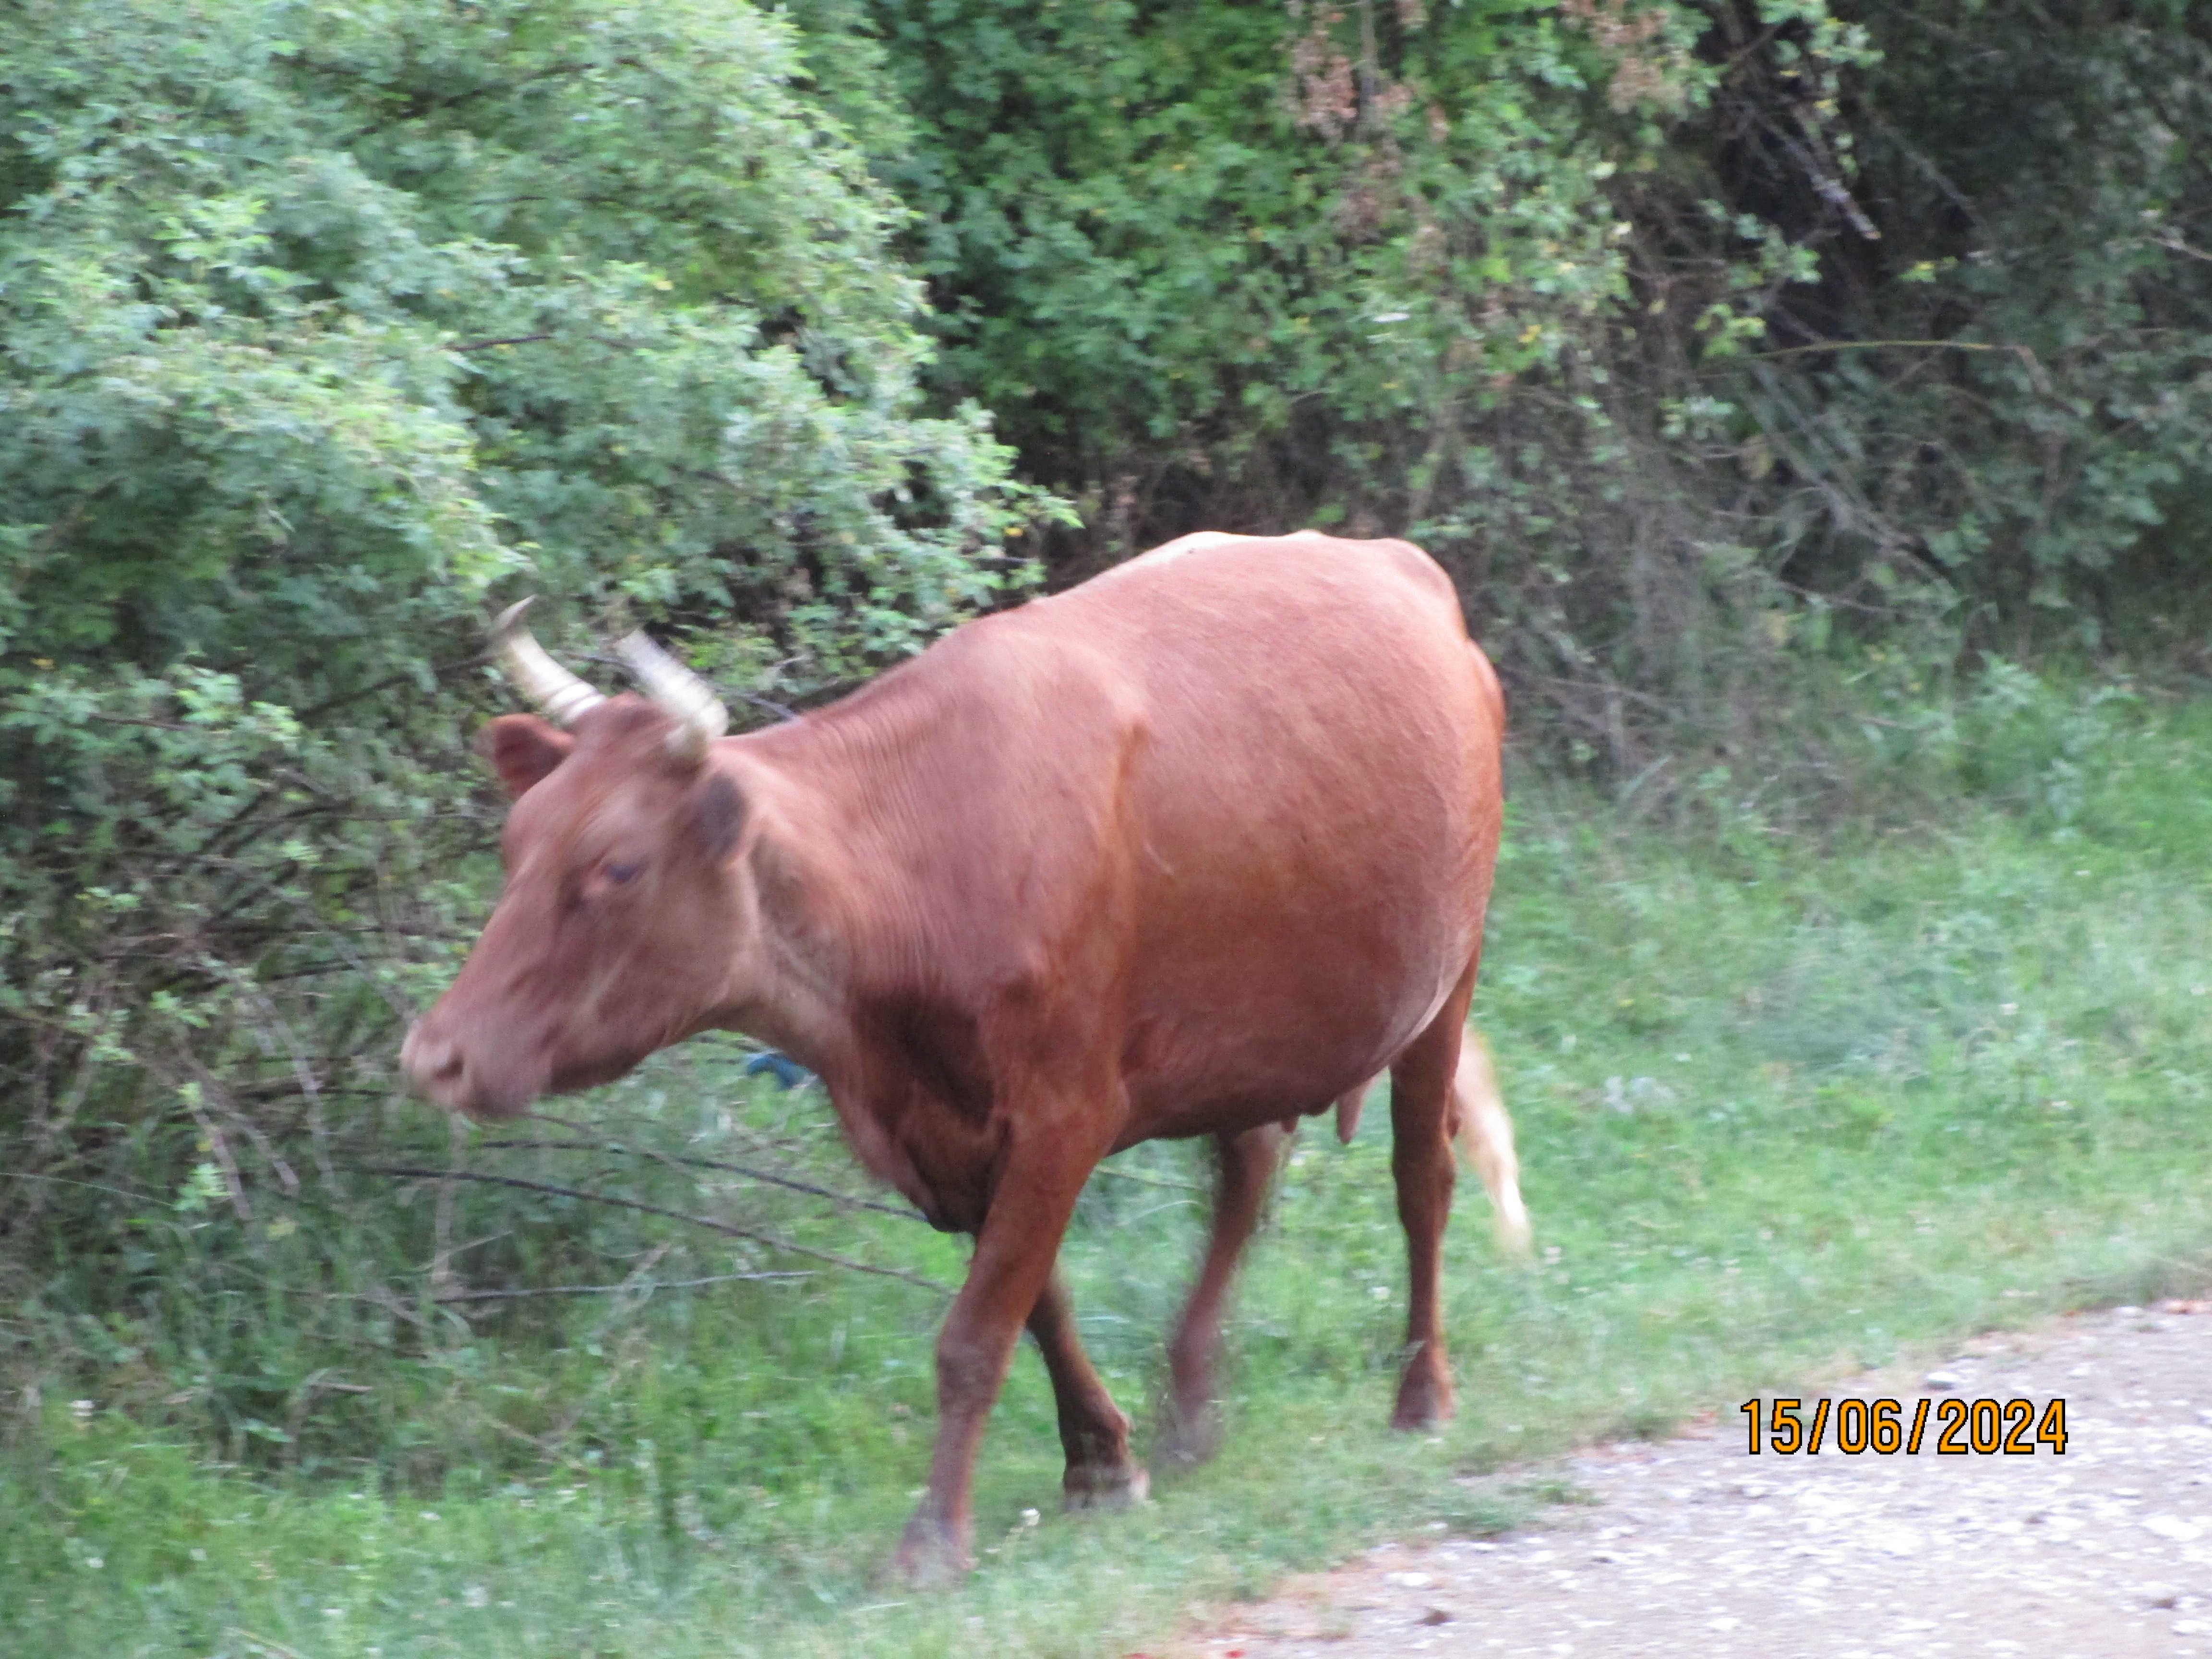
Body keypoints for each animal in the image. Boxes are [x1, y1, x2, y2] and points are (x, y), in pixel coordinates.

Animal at [402, 535, 1522, 1584]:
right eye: (515, 842)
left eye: (619, 866)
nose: (434, 1056)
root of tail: (1392, 560)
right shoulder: (948, 1135)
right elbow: (1038, 1306)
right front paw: (1103, 1463)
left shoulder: (1064, 1112)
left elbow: (976, 1333)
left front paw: (935, 1538)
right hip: (1252, 1027)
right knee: (1246, 1173)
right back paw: (1191, 1406)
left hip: (1448, 974)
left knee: (1420, 1181)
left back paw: (1421, 1395)